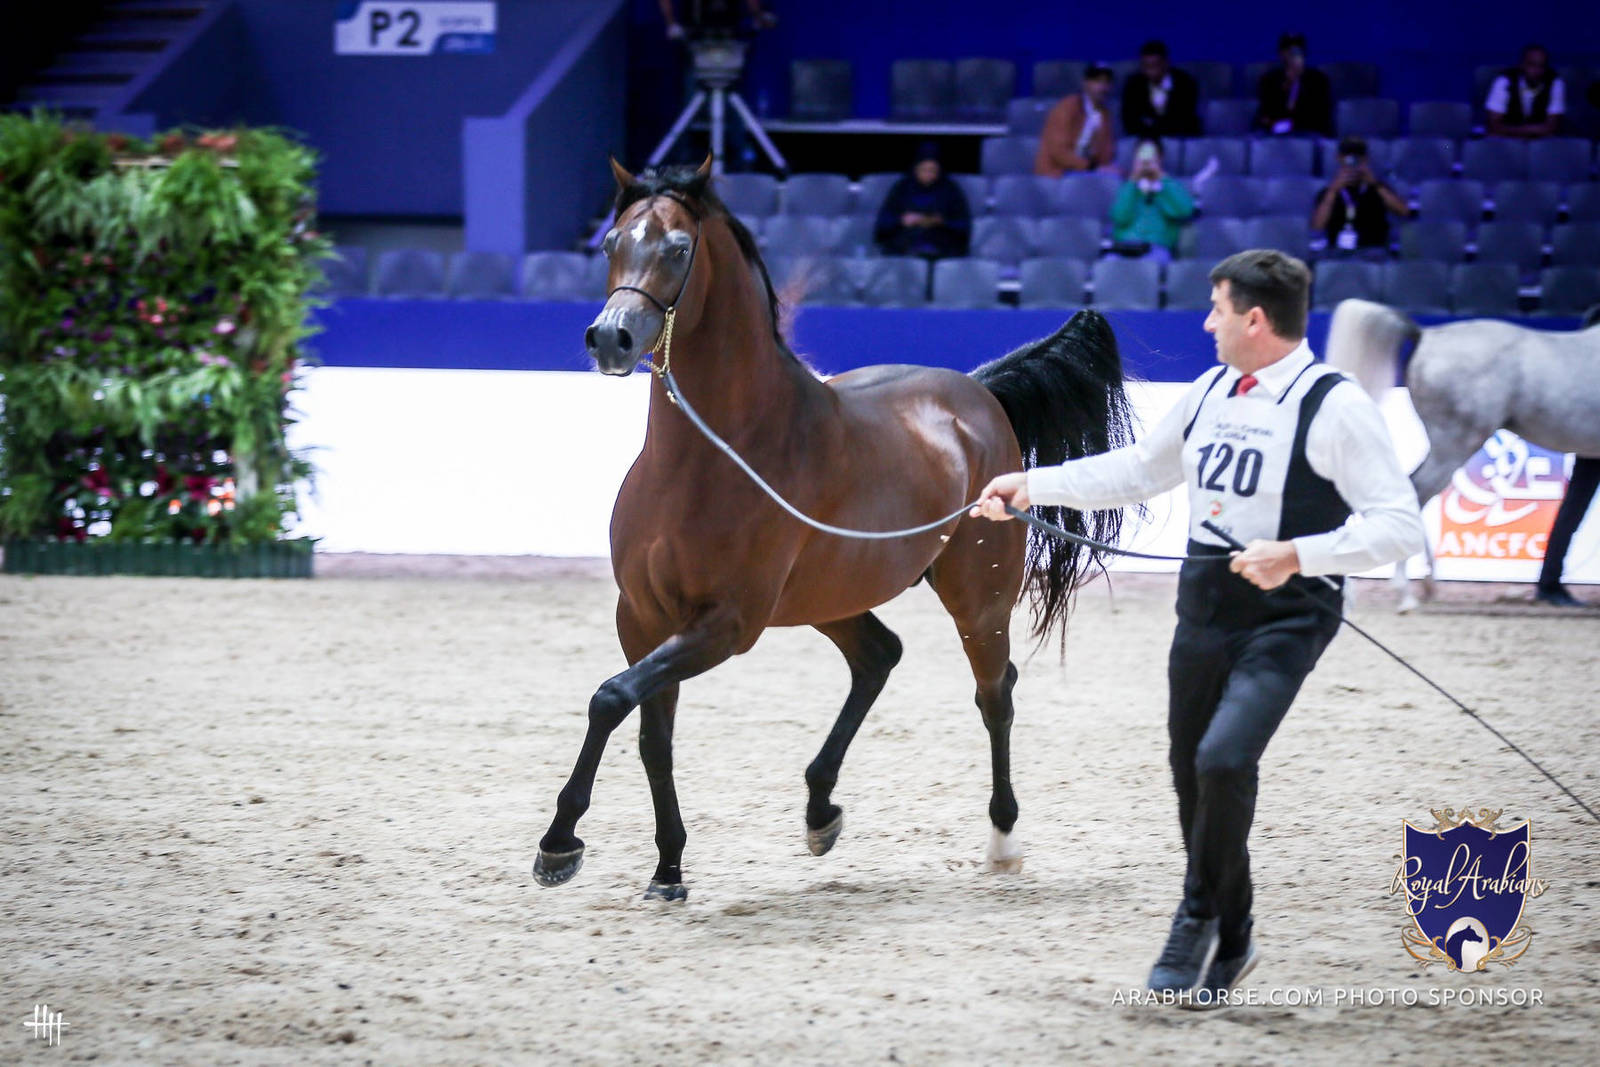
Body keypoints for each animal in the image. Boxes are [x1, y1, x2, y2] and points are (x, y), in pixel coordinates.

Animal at [532, 158, 1136, 900]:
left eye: (676, 248)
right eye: (612, 241)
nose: (610, 337)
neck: (717, 452)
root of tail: (978, 394)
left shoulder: (725, 625)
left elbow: (610, 698)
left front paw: (559, 843)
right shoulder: (643, 615)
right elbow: (650, 734)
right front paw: (668, 869)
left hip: (978, 599)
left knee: (995, 693)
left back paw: (1001, 840)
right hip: (832, 597)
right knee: (880, 656)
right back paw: (821, 809)